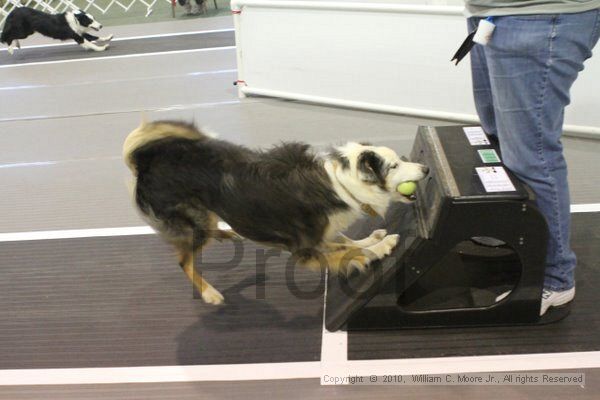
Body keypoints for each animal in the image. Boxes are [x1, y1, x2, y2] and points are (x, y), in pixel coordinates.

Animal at [124, 120, 428, 304]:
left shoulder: (320, 234)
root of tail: (145, 162)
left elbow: (346, 241)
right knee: (184, 260)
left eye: (400, 160)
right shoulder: (303, 250)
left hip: (207, 214)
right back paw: (209, 293)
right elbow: (350, 252)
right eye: (394, 166)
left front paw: (372, 239)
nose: (426, 168)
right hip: (193, 219)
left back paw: (230, 235)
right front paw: (381, 247)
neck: (340, 183)